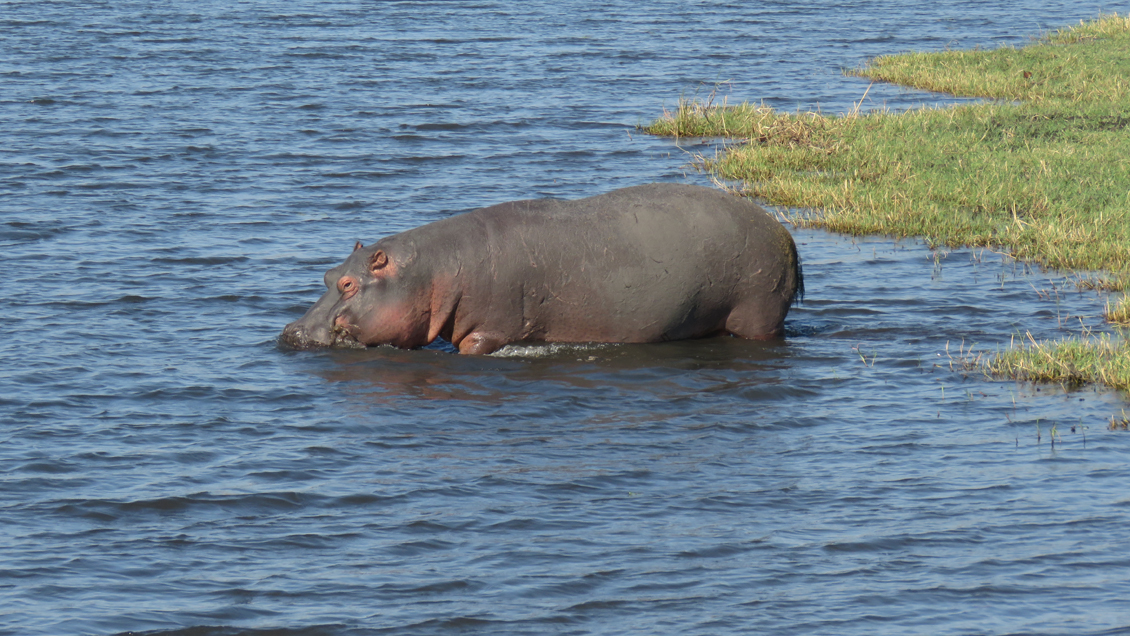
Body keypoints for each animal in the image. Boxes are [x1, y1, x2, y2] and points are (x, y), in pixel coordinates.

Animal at [280, 183, 803, 355]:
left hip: (757, 313)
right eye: (326, 275)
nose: (292, 330)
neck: (432, 273)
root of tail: (785, 234)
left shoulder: (490, 331)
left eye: (348, 283)